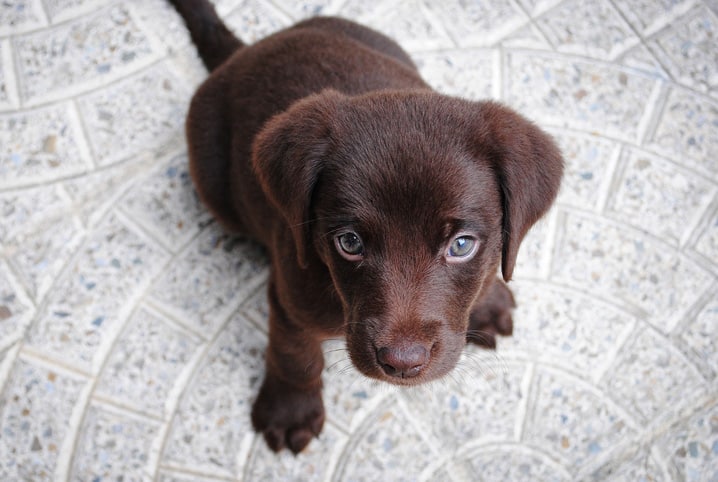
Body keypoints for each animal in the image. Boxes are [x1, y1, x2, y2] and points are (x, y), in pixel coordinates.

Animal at [169, 0, 564, 454]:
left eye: (461, 245)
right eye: (350, 242)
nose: (402, 363)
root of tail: (245, 52)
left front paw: (487, 299)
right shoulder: (290, 295)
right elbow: (294, 354)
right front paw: (290, 410)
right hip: (213, 181)